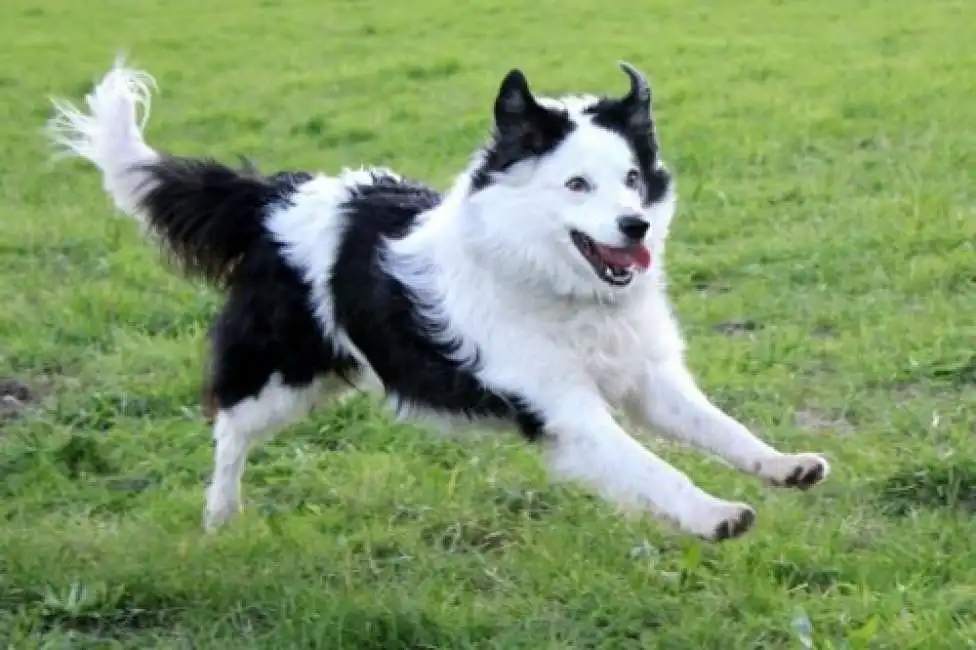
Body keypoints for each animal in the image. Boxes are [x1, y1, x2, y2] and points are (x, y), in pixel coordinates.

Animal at [49, 57, 828, 540]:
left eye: (634, 178)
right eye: (577, 184)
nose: (635, 226)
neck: (553, 285)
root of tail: (275, 195)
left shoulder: (647, 378)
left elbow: (720, 427)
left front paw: (785, 465)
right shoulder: (562, 406)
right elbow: (647, 464)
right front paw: (712, 514)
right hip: (282, 374)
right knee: (228, 429)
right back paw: (220, 515)